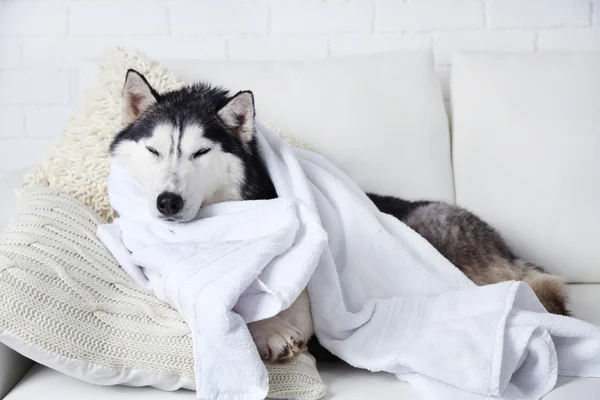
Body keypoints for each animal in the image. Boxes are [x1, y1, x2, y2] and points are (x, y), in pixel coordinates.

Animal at [111, 70, 568, 364]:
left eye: (201, 152)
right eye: (154, 150)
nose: (167, 202)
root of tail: (506, 248)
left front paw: (271, 329)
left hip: (432, 234)